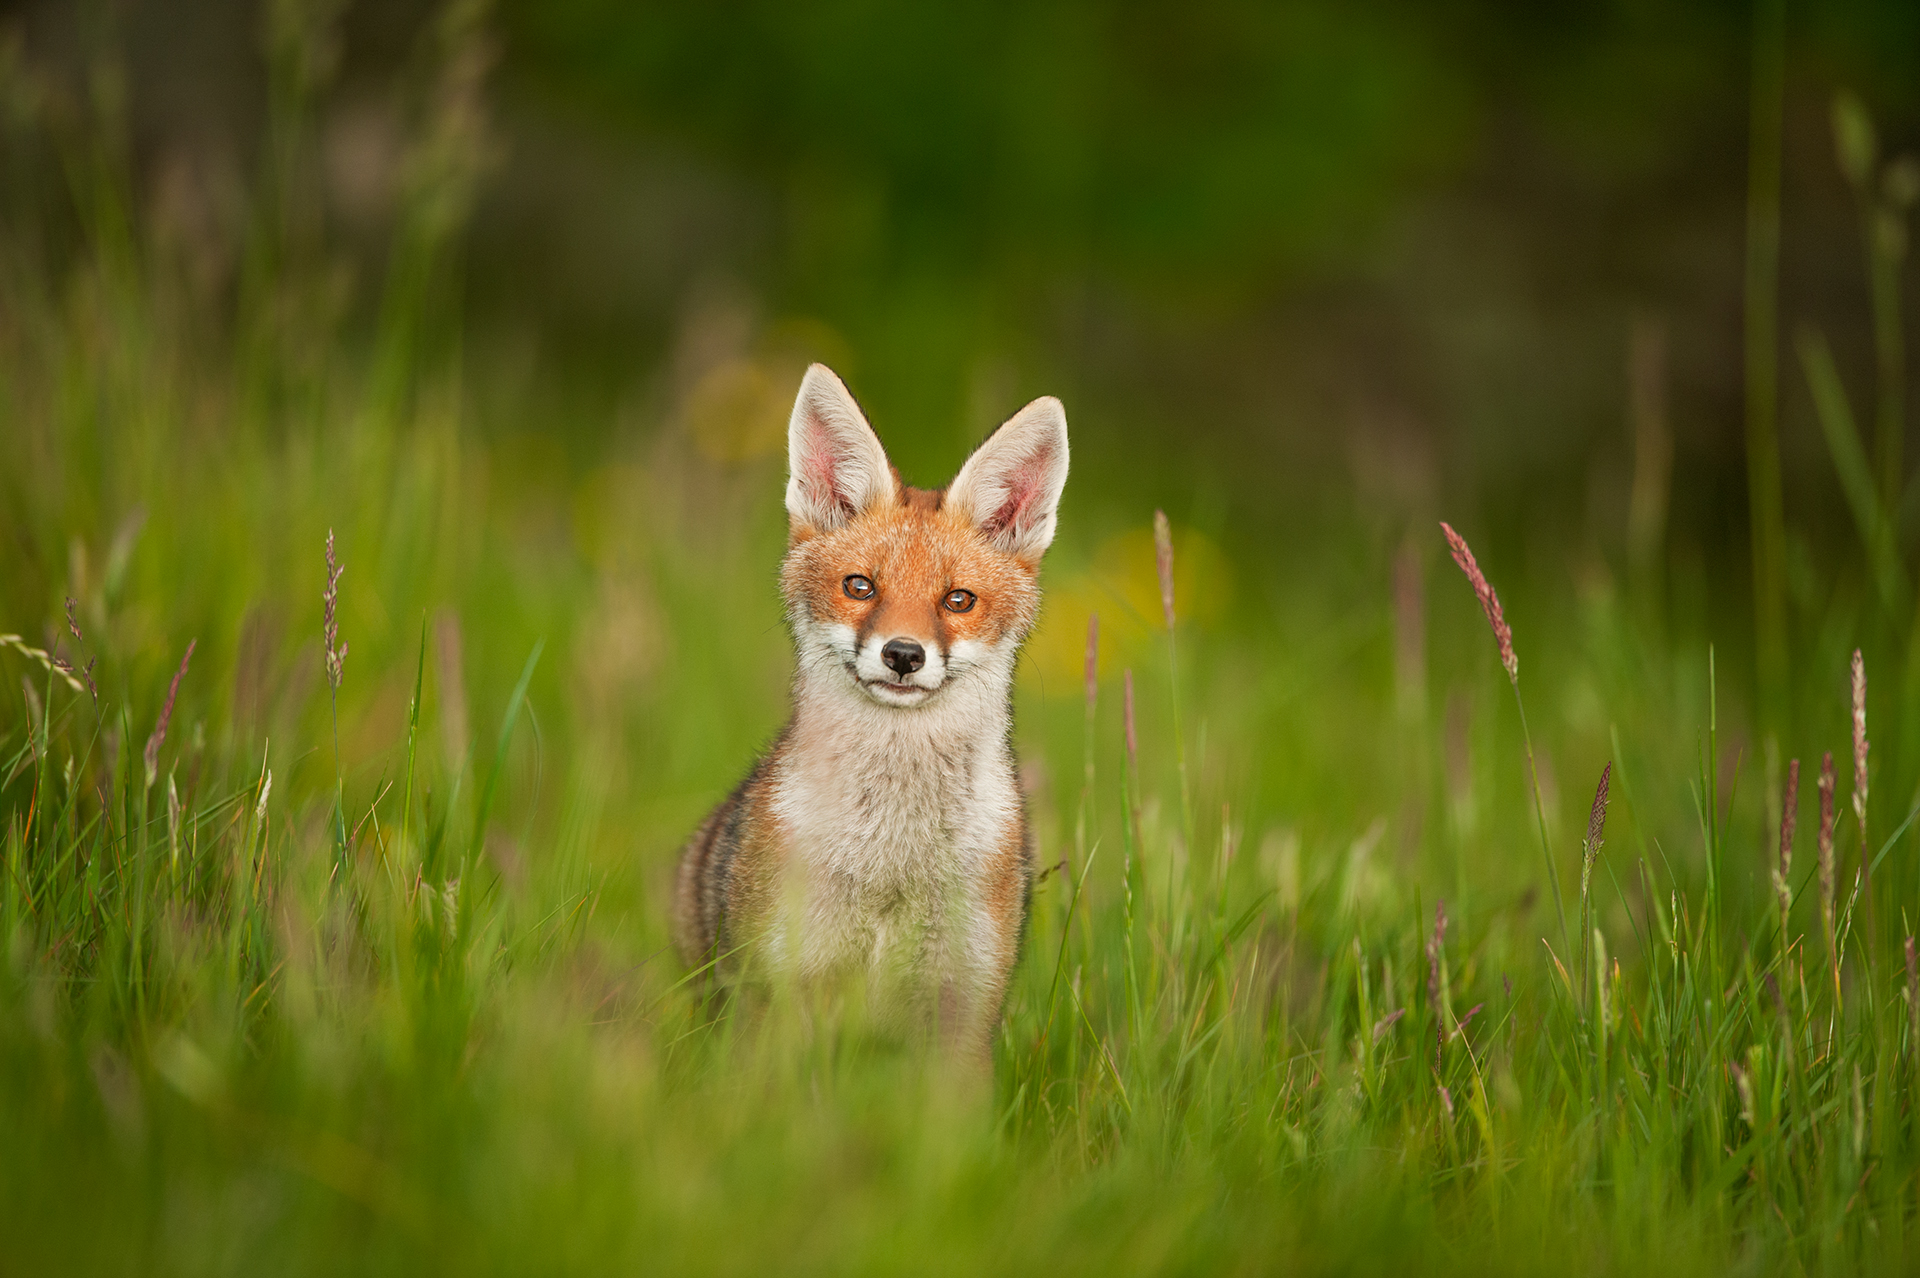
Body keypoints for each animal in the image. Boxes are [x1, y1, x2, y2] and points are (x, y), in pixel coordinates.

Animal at [672, 360, 1067, 1066]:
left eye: (958, 600)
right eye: (861, 587)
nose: (903, 655)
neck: (892, 861)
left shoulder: (963, 1007)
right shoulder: (778, 995)